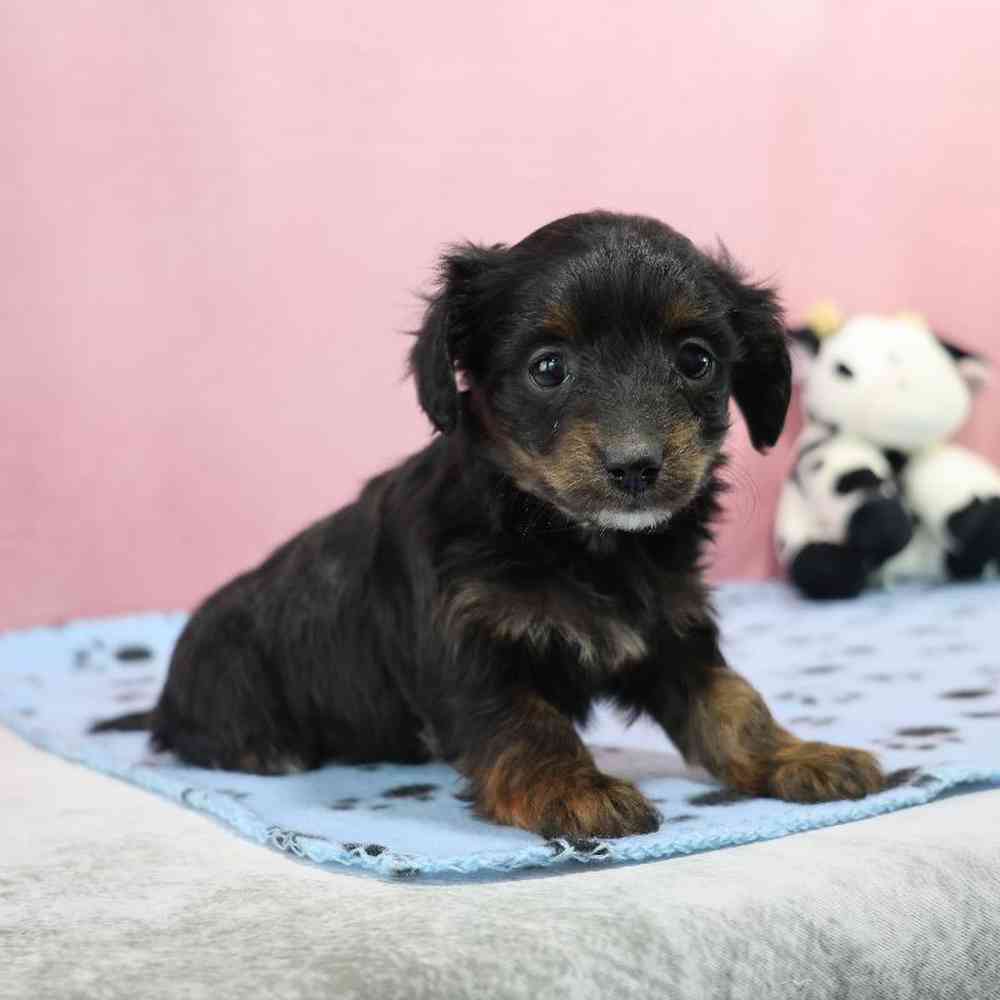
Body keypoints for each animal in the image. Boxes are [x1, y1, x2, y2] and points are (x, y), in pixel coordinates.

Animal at [97, 213, 888, 844]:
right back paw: (264, 749)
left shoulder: (673, 634)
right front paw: (576, 790)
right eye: (549, 367)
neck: (577, 540)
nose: (636, 467)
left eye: (696, 360)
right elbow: (526, 722)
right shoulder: (468, 647)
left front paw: (802, 756)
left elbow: (734, 704)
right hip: (226, 670)